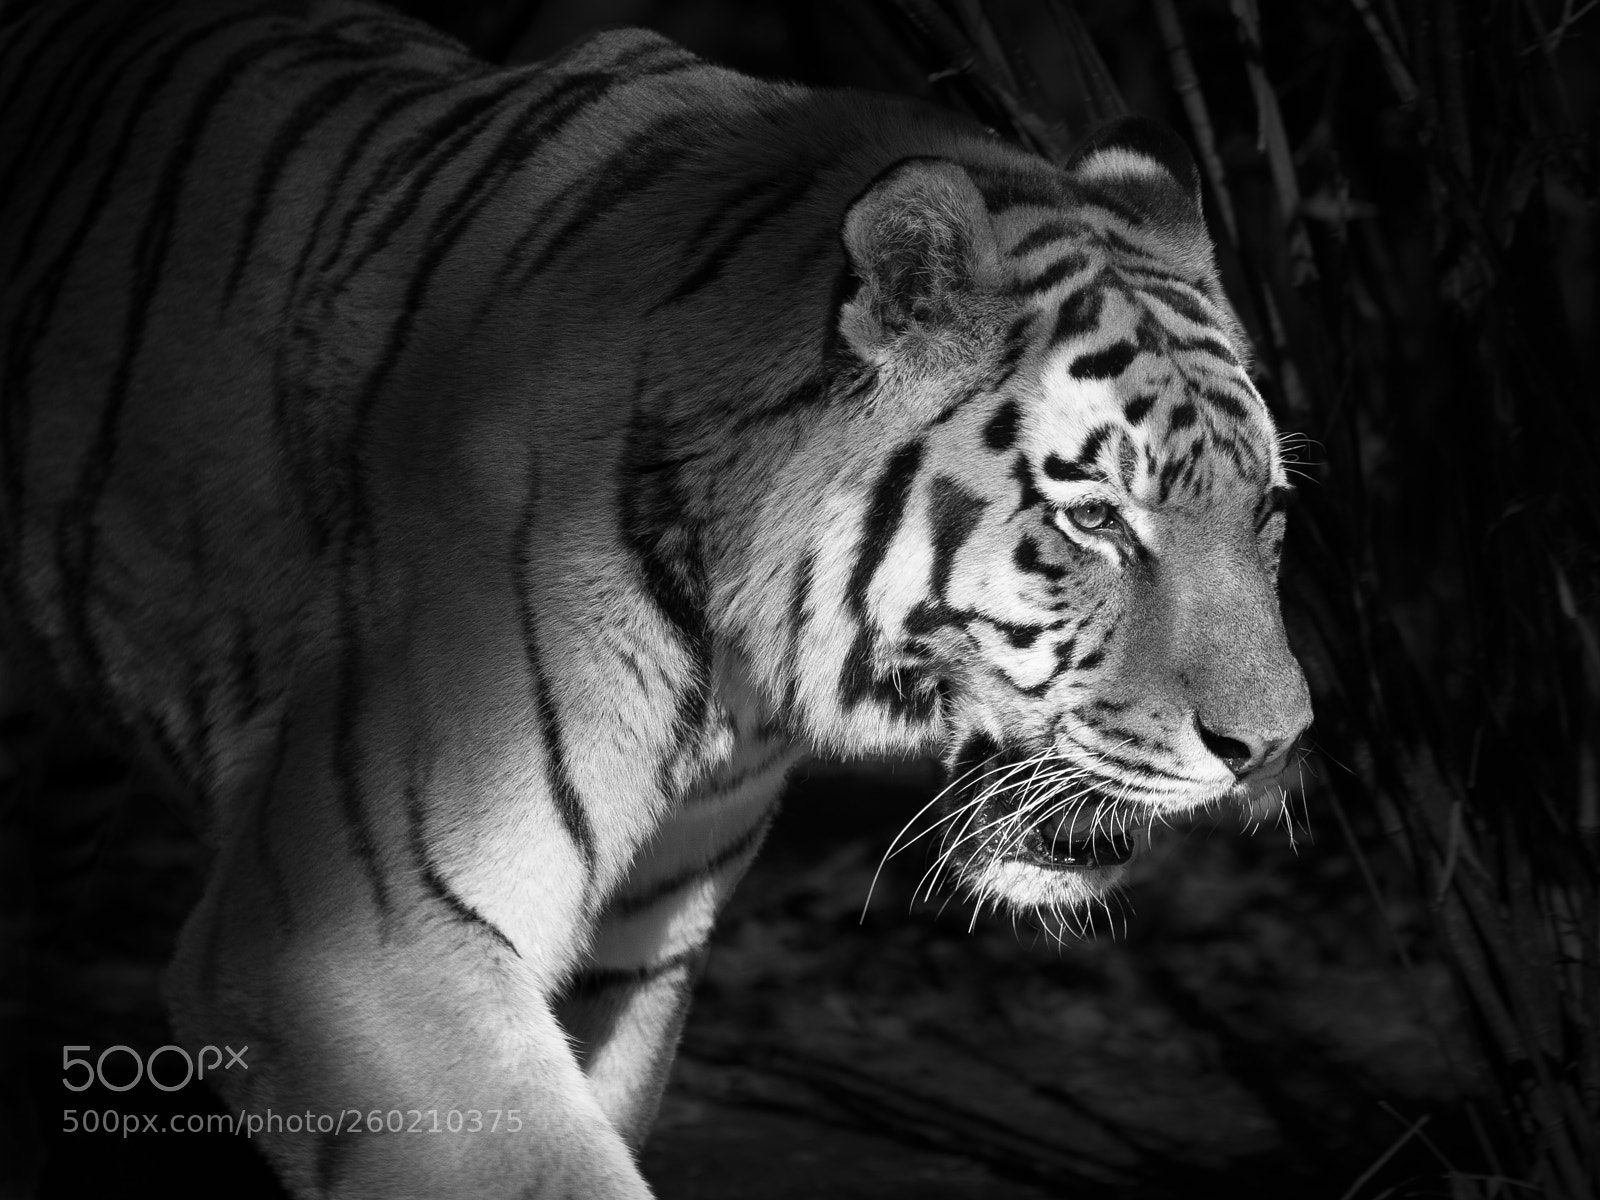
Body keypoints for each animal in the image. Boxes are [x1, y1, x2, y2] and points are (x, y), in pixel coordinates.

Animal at [0, 0, 1313, 1196]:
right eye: (1094, 518)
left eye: (1263, 509)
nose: (1273, 748)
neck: (738, 682)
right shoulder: (346, 939)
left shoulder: (634, 949)